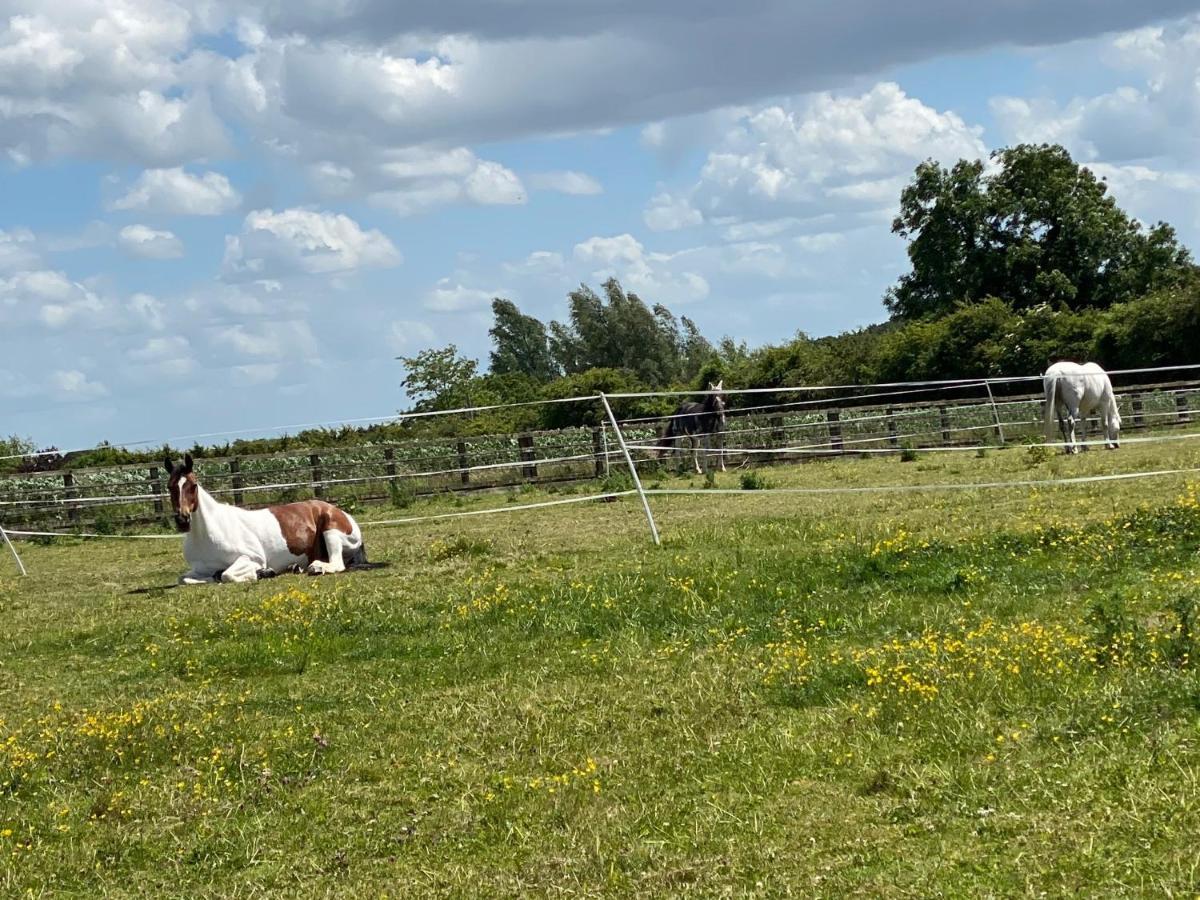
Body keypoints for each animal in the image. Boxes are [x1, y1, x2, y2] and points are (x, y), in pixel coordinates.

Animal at [165, 453, 364, 588]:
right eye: (169, 487)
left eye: (193, 485)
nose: (182, 520)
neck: (207, 534)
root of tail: (340, 511)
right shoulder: (200, 569)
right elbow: (184, 578)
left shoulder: (251, 558)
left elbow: (226, 575)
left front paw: (262, 573)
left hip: (331, 532)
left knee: (337, 564)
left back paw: (316, 568)